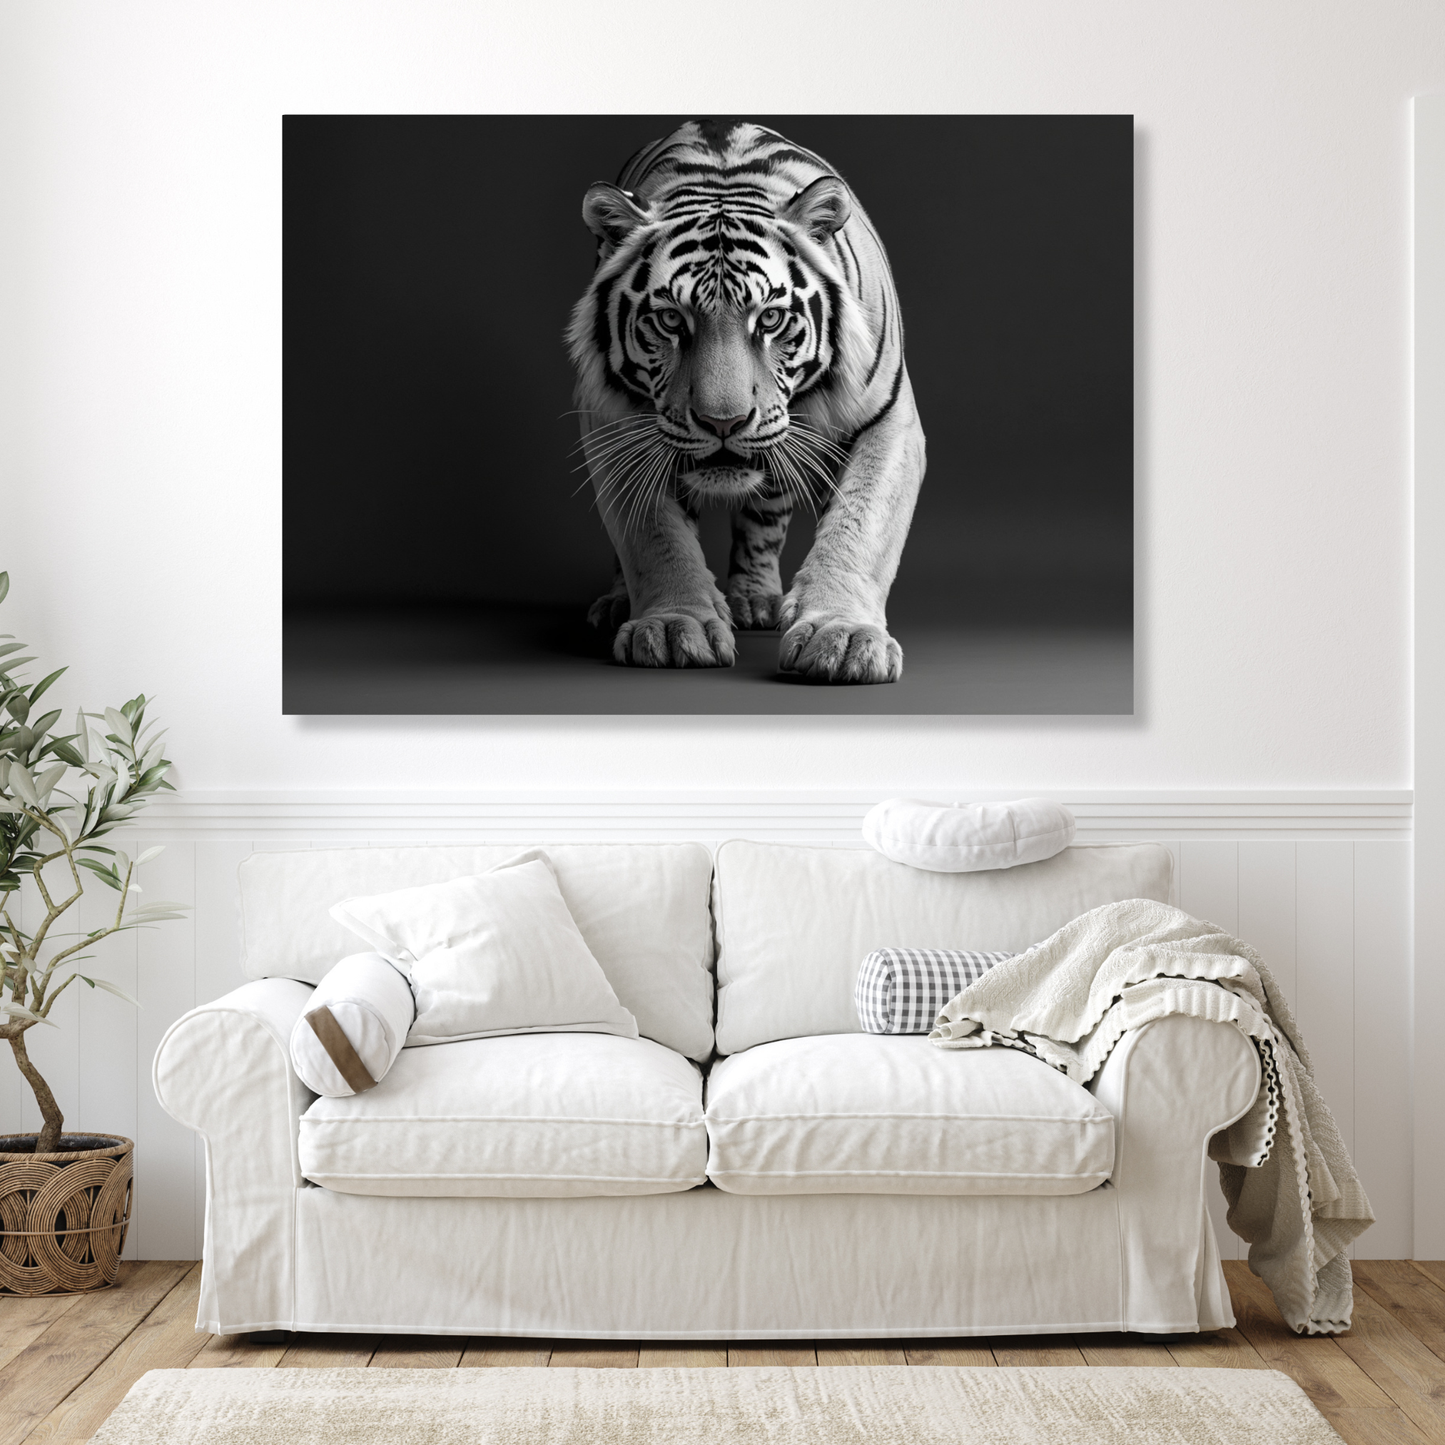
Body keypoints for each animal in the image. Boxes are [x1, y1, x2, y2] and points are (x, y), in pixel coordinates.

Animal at [566, 119, 926, 684]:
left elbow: (862, 525)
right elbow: (653, 535)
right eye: (670, 320)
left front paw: (841, 636)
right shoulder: (609, 421)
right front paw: (674, 625)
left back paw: (756, 601)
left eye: (771, 318)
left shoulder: (890, 419)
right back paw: (620, 603)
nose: (723, 422)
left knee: (765, 515)